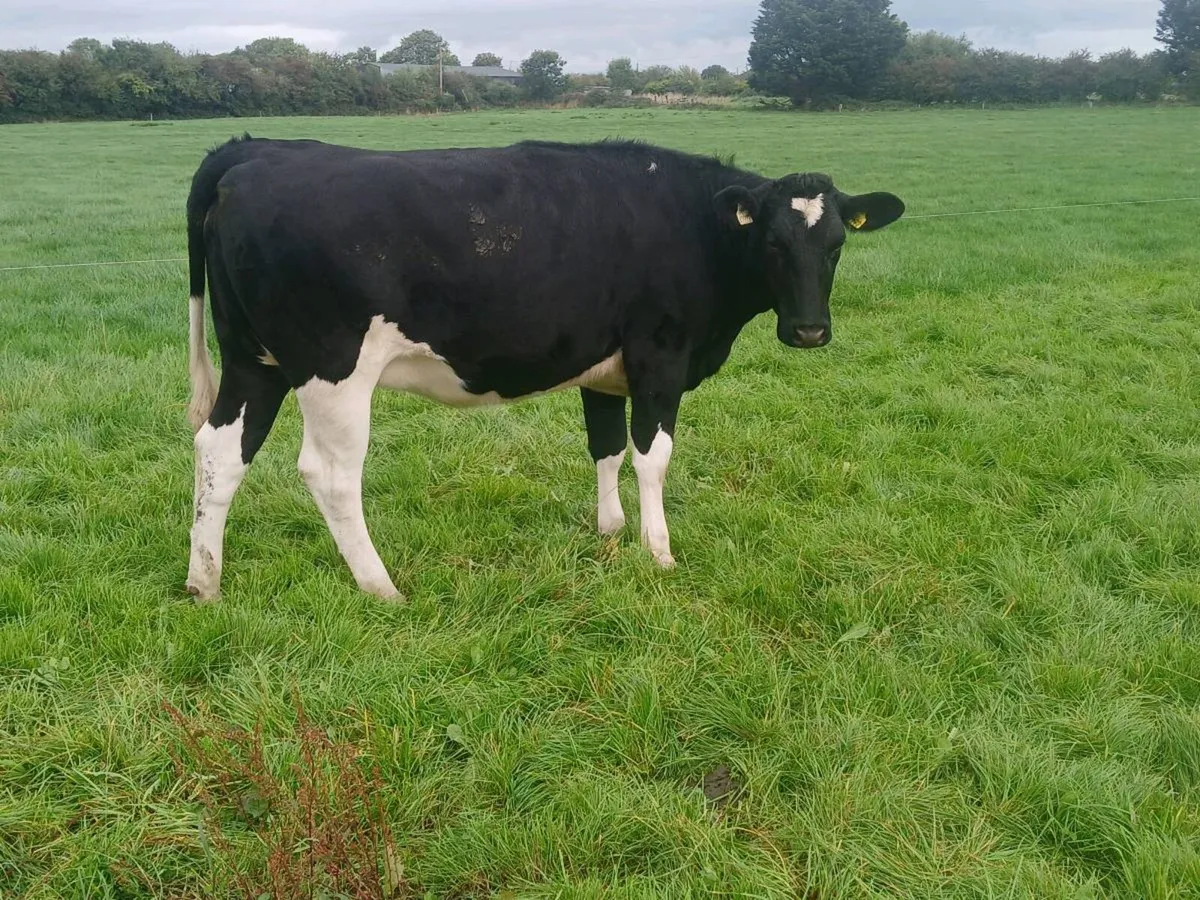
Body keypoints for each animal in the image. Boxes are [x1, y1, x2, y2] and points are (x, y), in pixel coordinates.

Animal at [184, 134, 904, 601]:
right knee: (329, 475)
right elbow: (652, 456)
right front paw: (658, 552)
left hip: (254, 360)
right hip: (333, 368)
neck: (695, 222)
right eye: (774, 242)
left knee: (220, 450)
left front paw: (610, 536)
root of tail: (256, 149)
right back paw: (380, 585)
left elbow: (606, 447)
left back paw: (205, 581)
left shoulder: (604, 368)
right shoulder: (659, 356)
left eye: (835, 245)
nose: (809, 331)